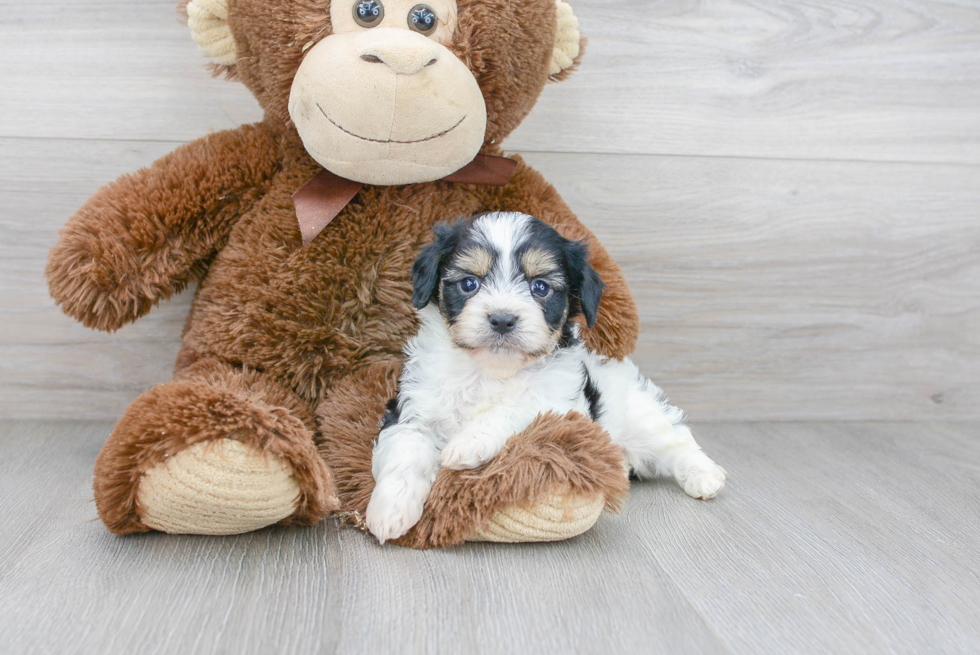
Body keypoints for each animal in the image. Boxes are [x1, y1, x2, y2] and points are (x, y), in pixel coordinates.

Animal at [364, 211, 724, 544]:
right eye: (469, 283)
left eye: (540, 287)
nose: (502, 319)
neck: (492, 370)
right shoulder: (411, 407)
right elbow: (405, 453)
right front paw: (390, 510)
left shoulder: (562, 406)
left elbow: (519, 407)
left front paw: (469, 442)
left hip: (639, 415)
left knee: (675, 439)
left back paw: (704, 475)